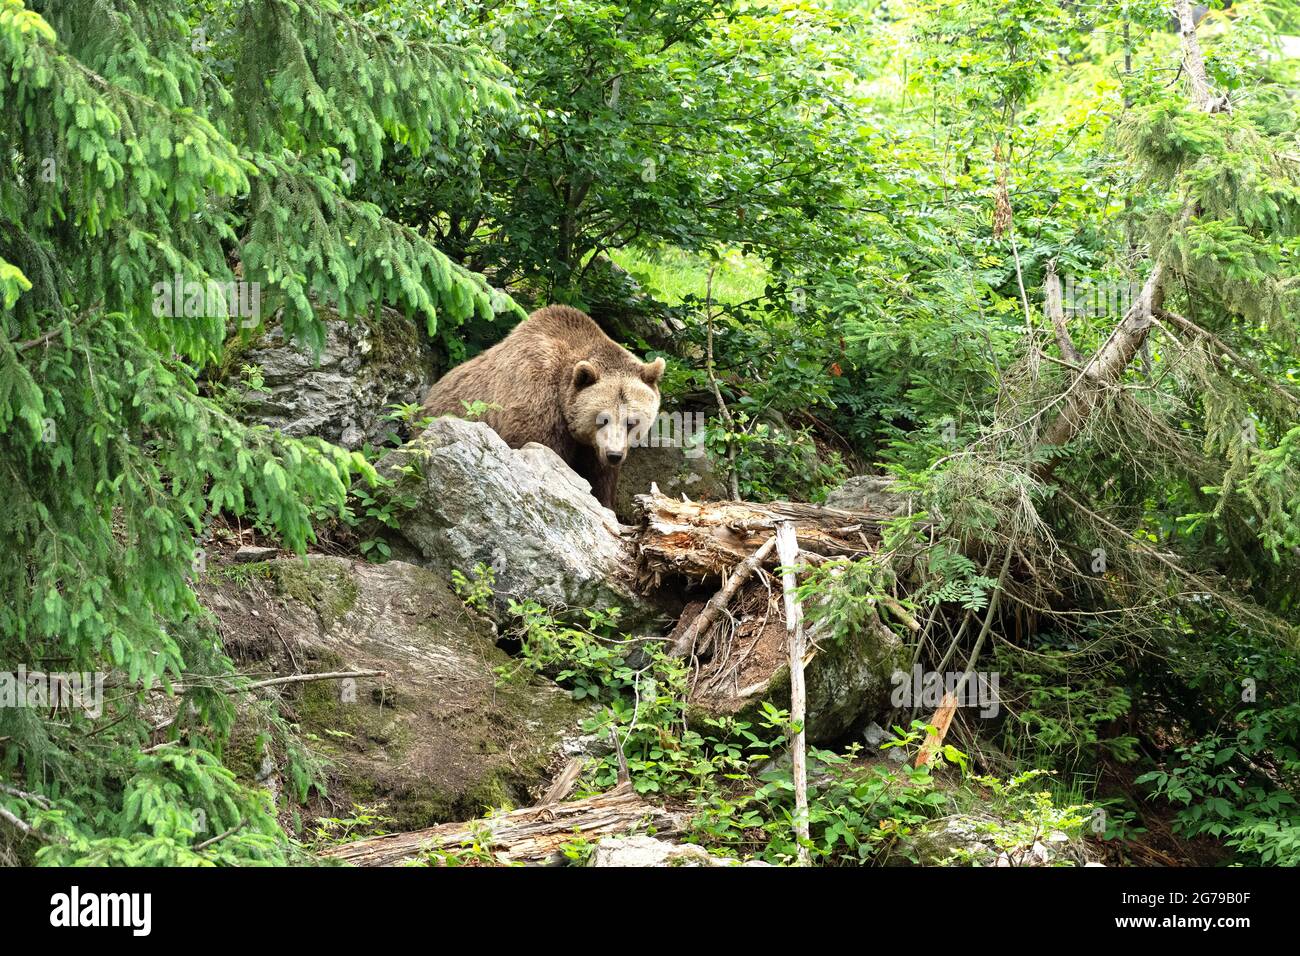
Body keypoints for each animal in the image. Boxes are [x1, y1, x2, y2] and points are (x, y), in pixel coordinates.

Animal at [418, 306, 665, 509]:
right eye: (602, 418)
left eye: (631, 421)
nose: (614, 454)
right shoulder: (537, 393)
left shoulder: (594, 447)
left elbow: (601, 476)